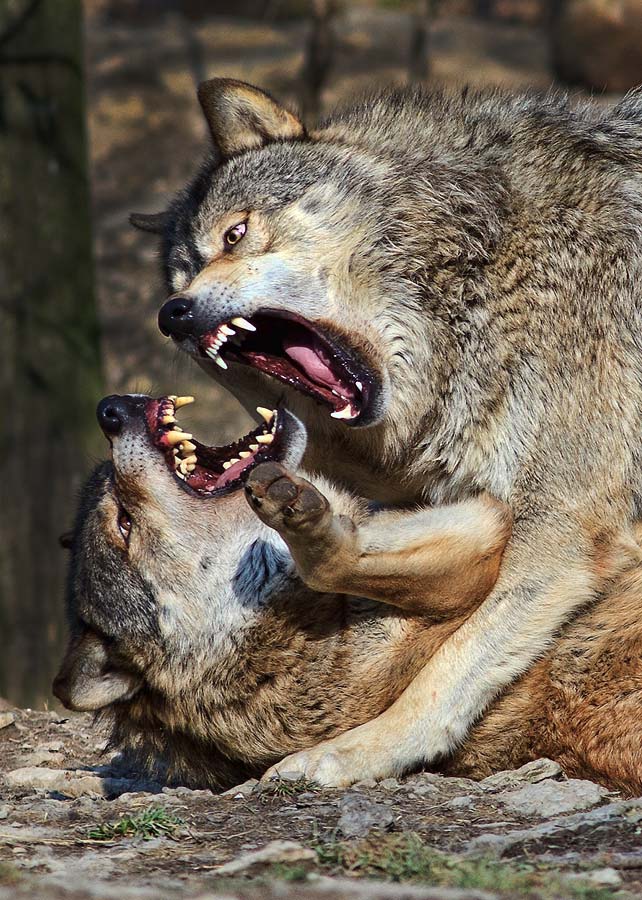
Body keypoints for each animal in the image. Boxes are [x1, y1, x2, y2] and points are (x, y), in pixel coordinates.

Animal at [132, 82, 640, 788]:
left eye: (235, 234)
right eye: (179, 281)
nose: (172, 316)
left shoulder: (565, 528)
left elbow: (450, 666)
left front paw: (352, 753)